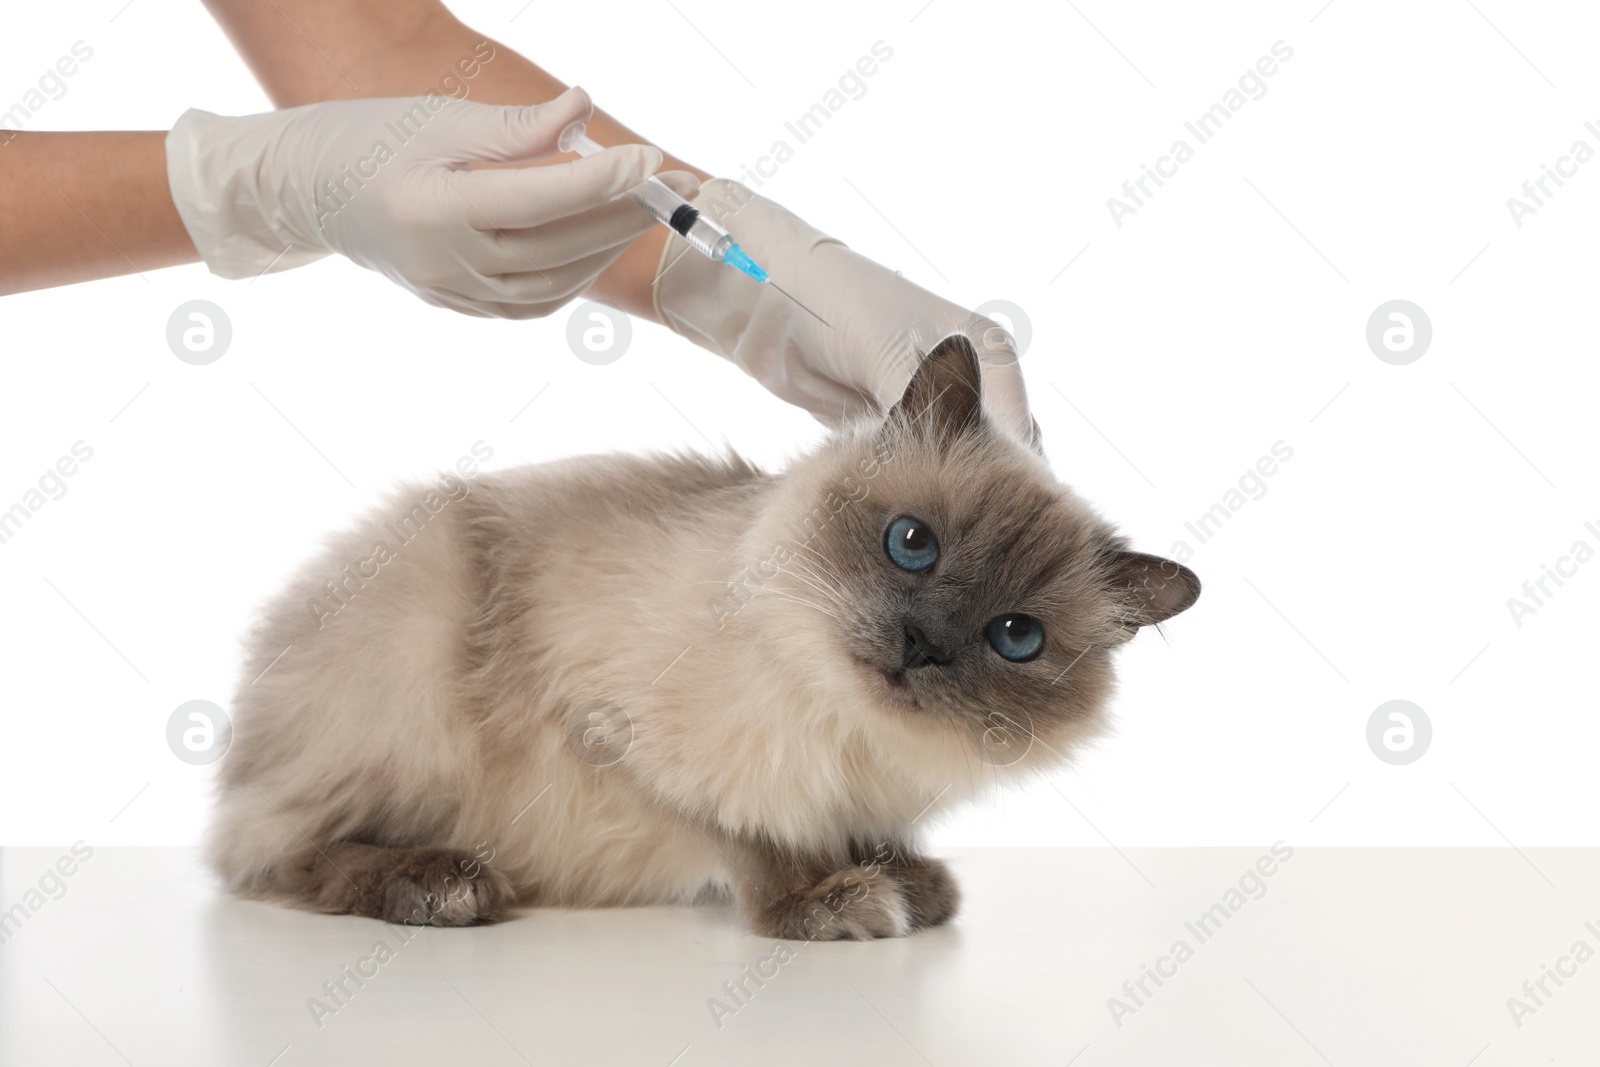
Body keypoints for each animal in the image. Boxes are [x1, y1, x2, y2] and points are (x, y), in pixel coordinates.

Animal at [206, 335, 1196, 940]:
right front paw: (824, 903)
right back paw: (442, 884)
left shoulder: (867, 796)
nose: (921, 644)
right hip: (416, 685)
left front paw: (908, 884)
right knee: (267, 853)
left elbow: (859, 835)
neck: (845, 726)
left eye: (1015, 637)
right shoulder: (613, 731)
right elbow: (748, 830)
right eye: (912, 543)